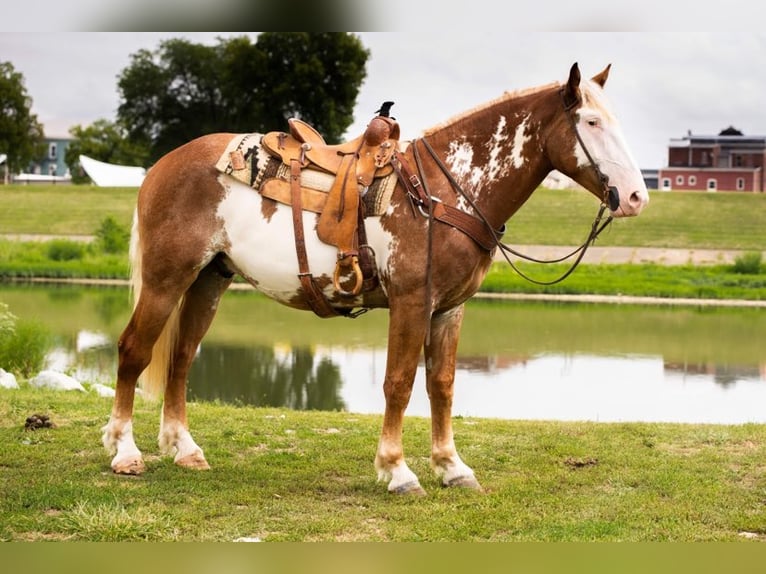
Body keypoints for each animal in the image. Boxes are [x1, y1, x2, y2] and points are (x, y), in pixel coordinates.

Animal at [102, 62, 652, 496]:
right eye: (591, 121)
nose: (635, 196)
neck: (444, 190)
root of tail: (161, 166)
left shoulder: (449, 309)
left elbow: (442, 385)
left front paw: (452, 468)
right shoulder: (412, 302)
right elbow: (399, 383)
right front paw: (398, 471)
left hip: (208, 281)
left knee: (181, 358)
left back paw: (185, 449)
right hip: (166, 280)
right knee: (134, 351)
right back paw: (124, 452)